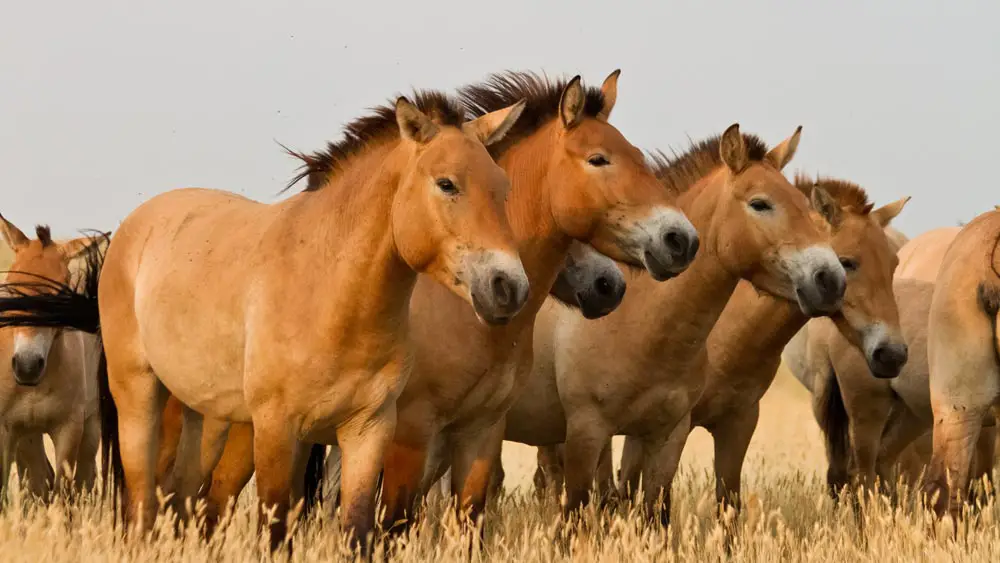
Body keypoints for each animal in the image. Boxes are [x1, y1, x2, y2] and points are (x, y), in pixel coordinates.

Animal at [0, 215, 102, 498]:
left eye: (59, 295)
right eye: (11, 289)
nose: (27, 366)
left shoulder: (68, 429)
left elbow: (62, 490)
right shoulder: (7, 430)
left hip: (90, 429)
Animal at [500, 125, 844, 528]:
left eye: (804, 205)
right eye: (760, 203)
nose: (830, 279)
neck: (639, 321)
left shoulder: (668, 436)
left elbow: (656, 513)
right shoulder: (587, 432)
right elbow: (576, 514)